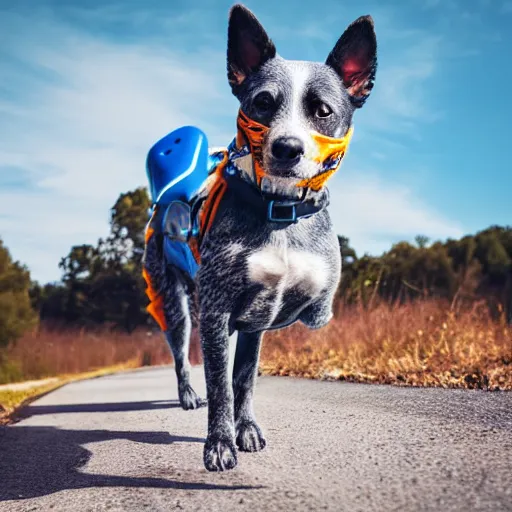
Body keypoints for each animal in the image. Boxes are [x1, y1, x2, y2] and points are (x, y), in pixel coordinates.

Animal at [143, 2, 376, 472]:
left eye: (323, 111)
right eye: (263, 102)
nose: (288, 147)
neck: (278, 211)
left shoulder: (278, 312)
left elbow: (247, 375)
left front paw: (243, 428)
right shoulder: (214, 313)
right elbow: (221, 384)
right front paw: (219, 443)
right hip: (174, 306)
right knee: (181, 355)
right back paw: (188, 394)